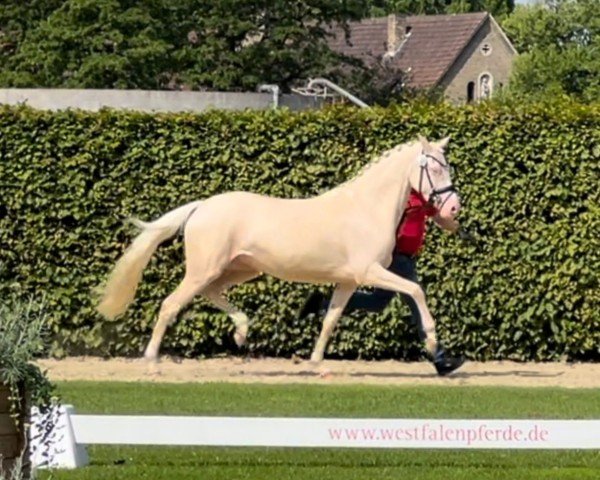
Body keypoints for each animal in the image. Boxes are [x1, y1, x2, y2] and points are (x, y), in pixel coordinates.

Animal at [97, 135, 460, 364]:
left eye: (448, 166)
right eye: (435, 168)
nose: (454, 208)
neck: (366, 208)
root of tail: (201, 207)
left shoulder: (348, 281)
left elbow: (331, 318)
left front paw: (315, 360)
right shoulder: (368, 271)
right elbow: (415, 289)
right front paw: (432, 340)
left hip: (240, 269)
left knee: (212, 293)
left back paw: (242, 332)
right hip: (204, 270)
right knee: (171, 304)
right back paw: (152, 358)